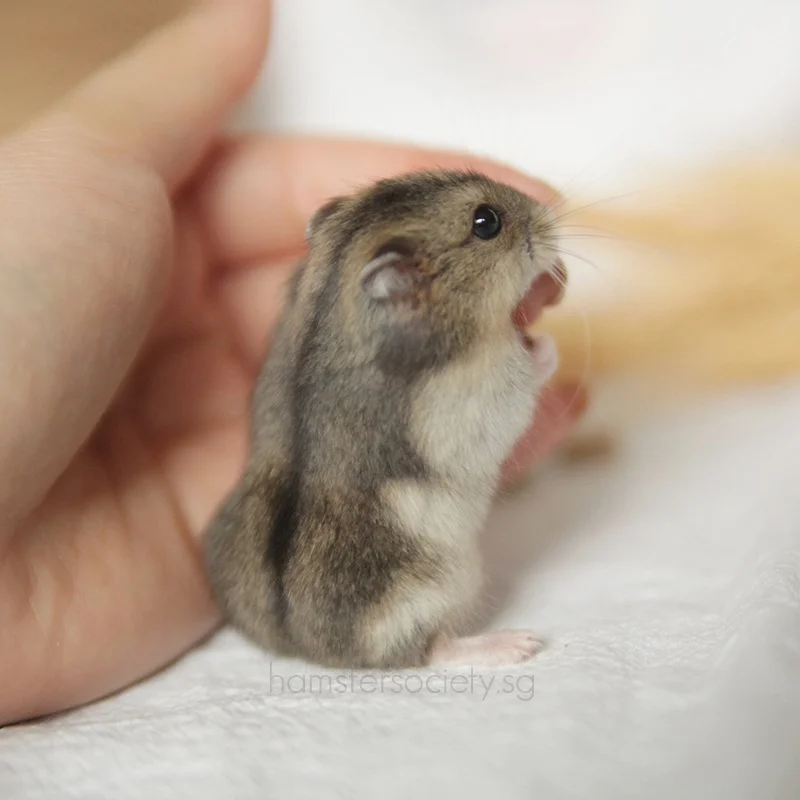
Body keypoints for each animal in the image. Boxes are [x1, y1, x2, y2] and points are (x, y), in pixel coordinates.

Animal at [203, 169, 566, 670]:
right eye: (485, 222)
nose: (549, 213)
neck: (337, 302)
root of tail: (306, 650)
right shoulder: (486, 390)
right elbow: (526, 371)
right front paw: (546, 345)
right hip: (432, 589)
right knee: (431, 648)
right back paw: (517, 643)